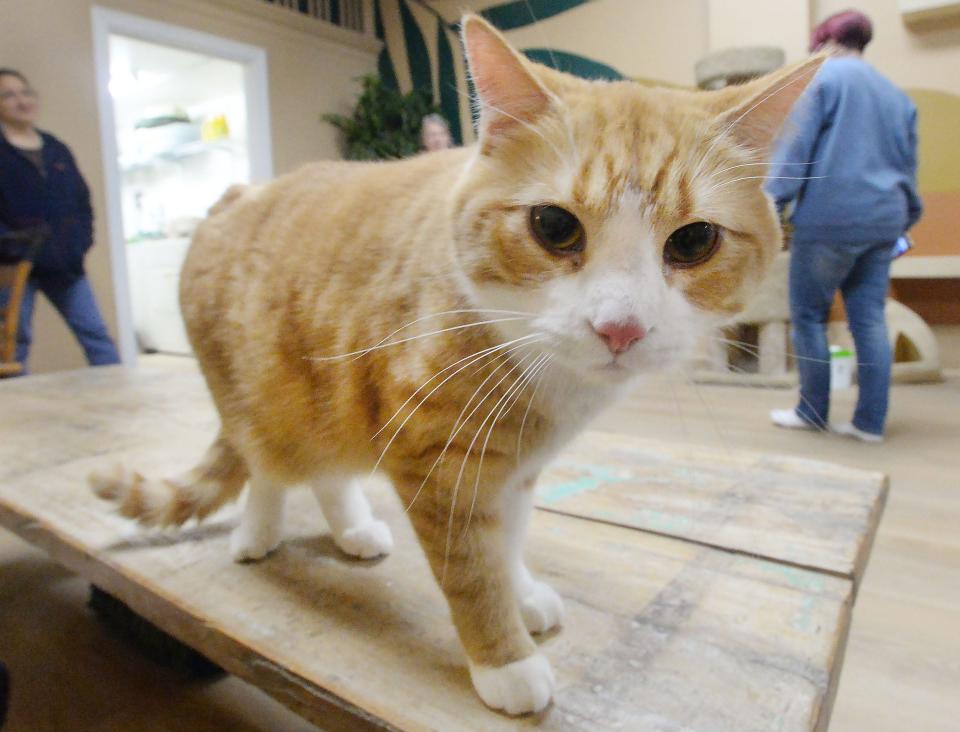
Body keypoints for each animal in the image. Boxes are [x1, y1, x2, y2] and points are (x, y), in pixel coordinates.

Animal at [92, 17, 824, 716]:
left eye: (694, 241)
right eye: (554, 227)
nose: (620, 326)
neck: (540, 381)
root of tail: (235, 195)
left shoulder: (517, 468)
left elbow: (509, 542)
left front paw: (521, 594)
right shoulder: (436, 461)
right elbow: (472, 570)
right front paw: (506, 658)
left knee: (324, 467)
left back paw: (352, 526)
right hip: (257, 394)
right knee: (268, 465)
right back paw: (259, 530)